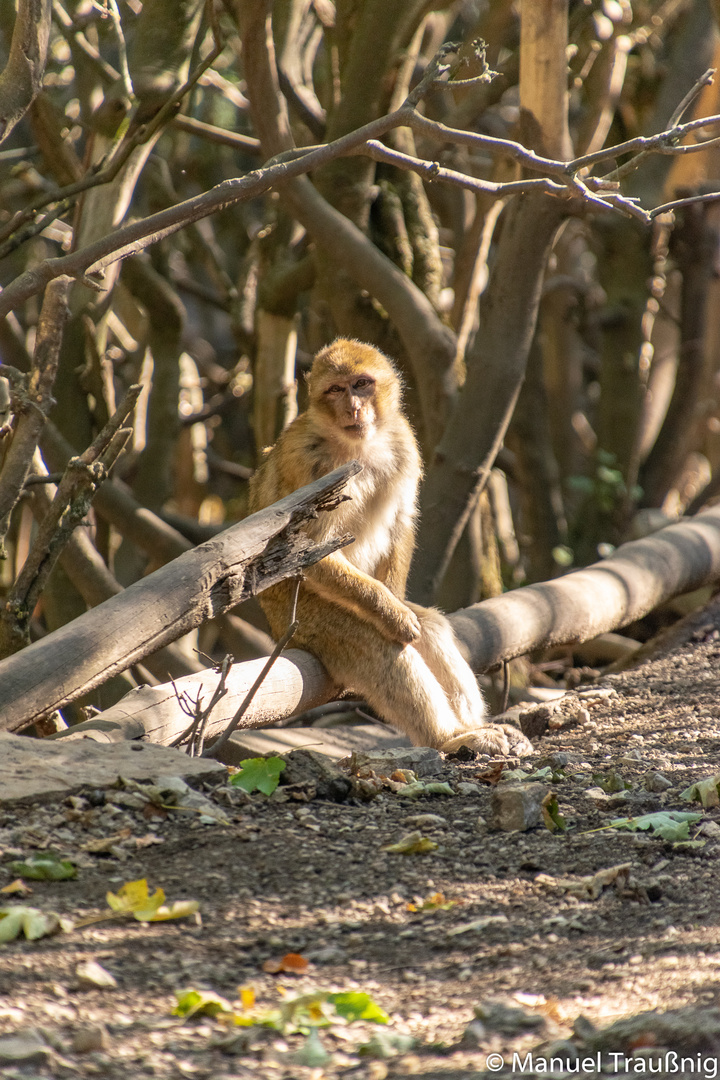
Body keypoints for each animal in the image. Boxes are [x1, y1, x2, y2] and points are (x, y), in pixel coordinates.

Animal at [249, 341, 535, 756]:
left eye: (361, 384)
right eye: (335, 390)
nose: (353, 408)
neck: (355, 445)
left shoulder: (403, 439)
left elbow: (401, 520)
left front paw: (395, 602)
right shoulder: (306, 461)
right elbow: (309, 549)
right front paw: (389, 612)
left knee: (432, 628)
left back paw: (469, 727)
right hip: (304, 621)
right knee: (379, 645)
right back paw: (447, 738)